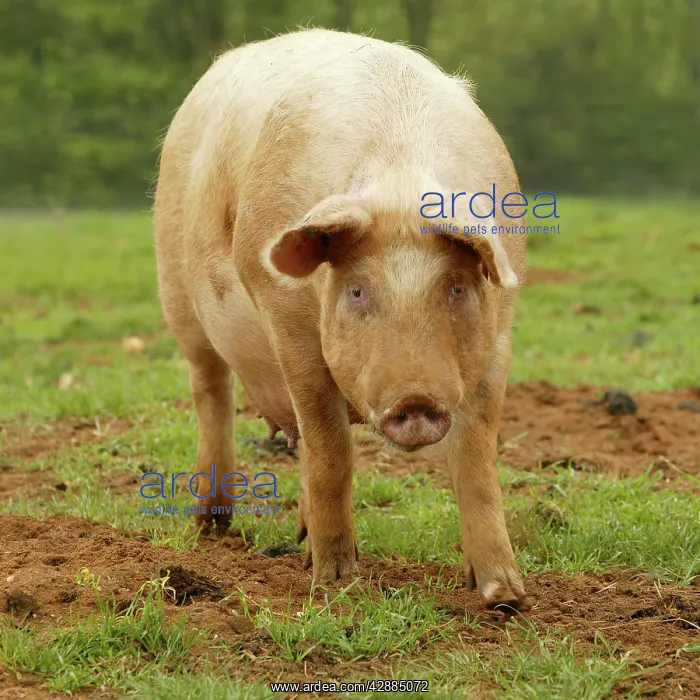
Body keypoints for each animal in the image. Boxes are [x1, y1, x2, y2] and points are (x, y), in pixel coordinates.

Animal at [154, 28, 530, 611]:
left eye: (456, 287)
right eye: (356, 291)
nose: (415, 398)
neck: (399, 182)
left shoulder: (499, 339)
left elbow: (477, 457)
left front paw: (504, 596)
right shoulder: (290, 328)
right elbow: (332, 449)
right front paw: (335, 581)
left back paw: (300, 540)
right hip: (176, 290)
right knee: (211, 391)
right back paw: (211, 529)